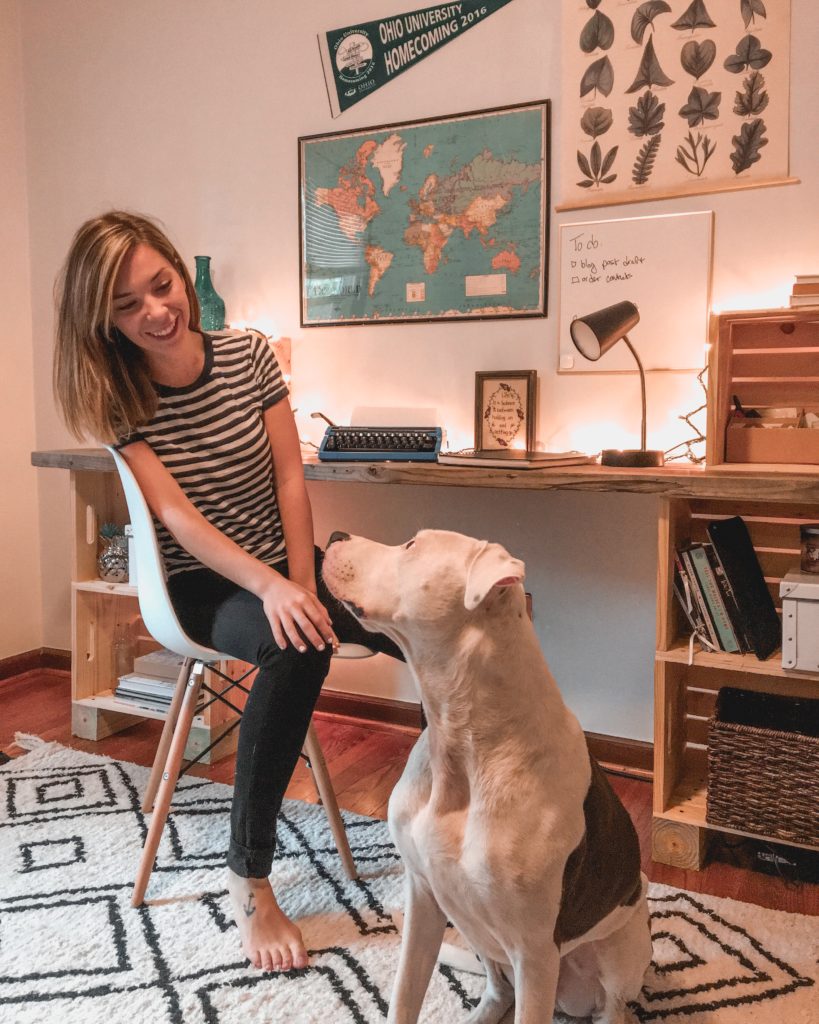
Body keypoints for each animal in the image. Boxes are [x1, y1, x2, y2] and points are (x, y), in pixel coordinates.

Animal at [323, 528, 651, 1024]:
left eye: (412, 545)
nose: (335, 535)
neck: (464, 744)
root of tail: (568, 999)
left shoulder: (535, 952)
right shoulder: (423, 899)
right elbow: (404, 996)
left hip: (621, 943)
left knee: (612, 1006)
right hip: (479, 939)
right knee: (499, 991)